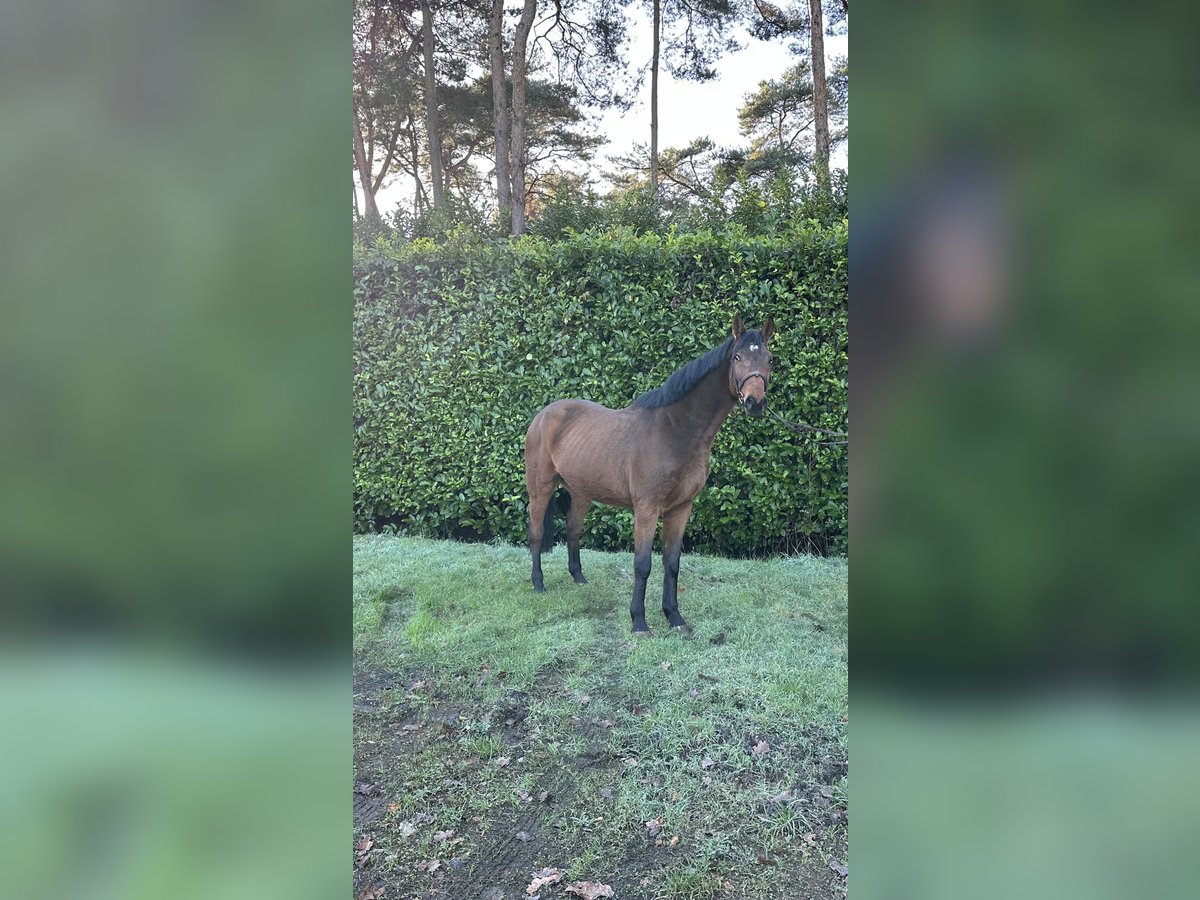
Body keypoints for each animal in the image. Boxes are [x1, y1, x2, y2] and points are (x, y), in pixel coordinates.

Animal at [525, 314, 777, 633]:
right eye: (737, 357)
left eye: (769, 359)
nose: (755, 402)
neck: (673, 431)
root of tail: (543, 415)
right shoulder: (646, 508)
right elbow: (643, 564)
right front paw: (639, 622)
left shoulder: (681, 509)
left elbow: (672, 563)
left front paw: (675, 617)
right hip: (540, 487)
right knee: (536, 532)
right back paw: (538, 584)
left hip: (581, 491)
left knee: (573, 529)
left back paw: (579, 578)